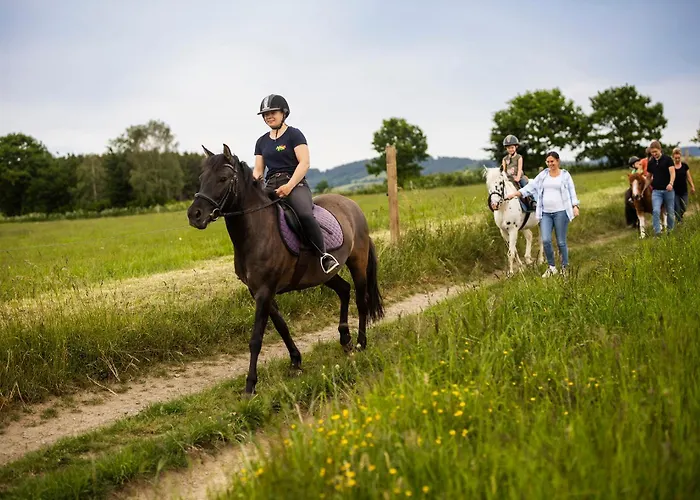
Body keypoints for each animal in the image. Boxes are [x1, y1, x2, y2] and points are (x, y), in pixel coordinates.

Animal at [187, 145, 384, 394]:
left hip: (357, 262)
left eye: (222, 178)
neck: (257, 231)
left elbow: (256, 338)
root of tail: (351, 205)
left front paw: (250, 385)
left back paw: (360, 342)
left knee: (361, 299)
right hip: (324, 274)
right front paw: (295, 361)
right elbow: (281, 325)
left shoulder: (264, 290)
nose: (194, 215)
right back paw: (345, 338)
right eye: (202, 178)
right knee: (344, 290)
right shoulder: (258, 291)